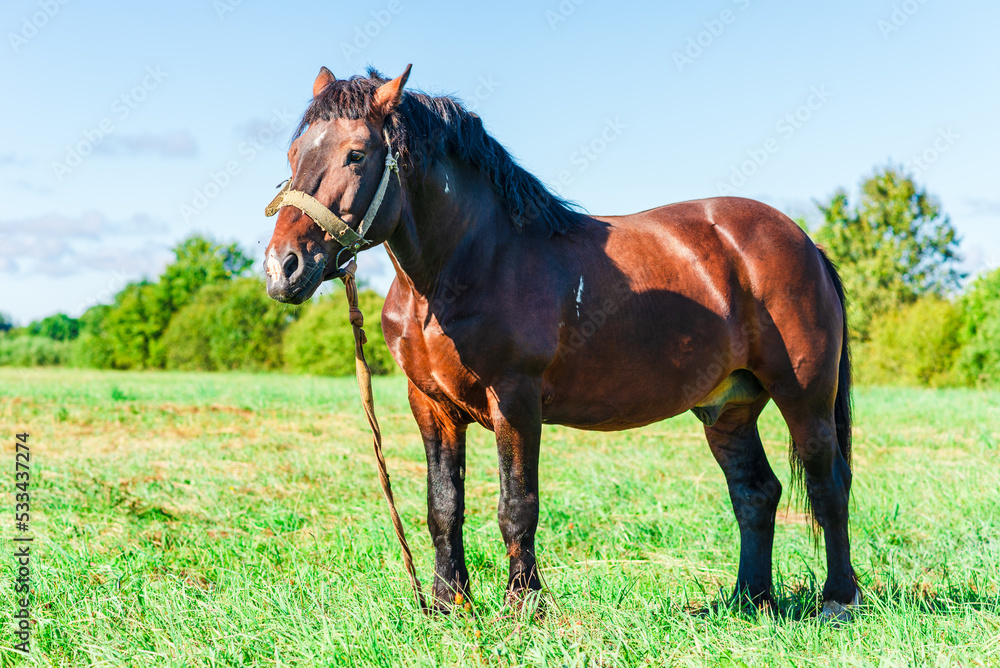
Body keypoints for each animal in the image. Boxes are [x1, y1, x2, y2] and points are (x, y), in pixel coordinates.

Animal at [263, 65, 859, 620]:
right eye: (294, 153)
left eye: (356, 154)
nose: (282, 267)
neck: (467, 267)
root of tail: (804, 241)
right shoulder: (430, 405)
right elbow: (443, 506)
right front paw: (450, 603)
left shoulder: (515, 398)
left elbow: (517, 505)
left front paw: (524, 604)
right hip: (728, 406)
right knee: (756, 492)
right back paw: (749, 600)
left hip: (804, 394)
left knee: (828, 483)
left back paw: (837, 599)